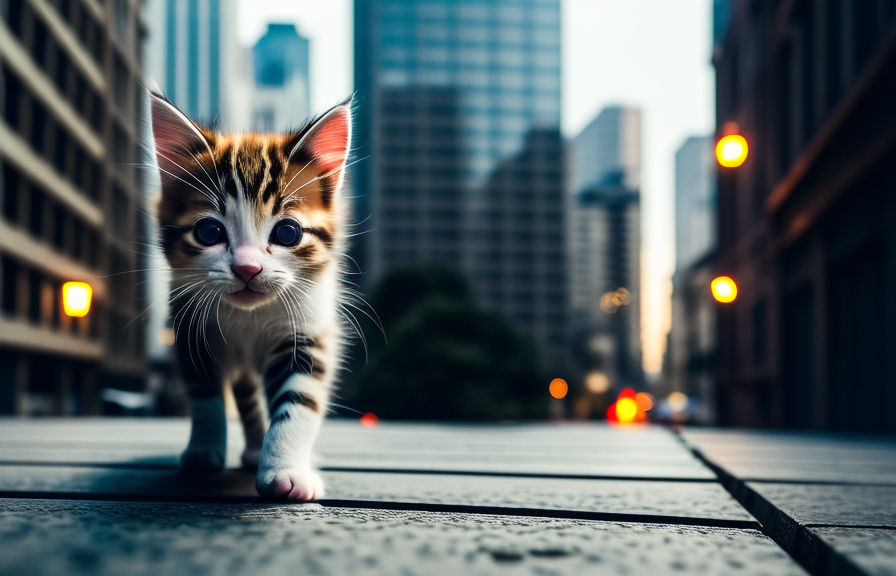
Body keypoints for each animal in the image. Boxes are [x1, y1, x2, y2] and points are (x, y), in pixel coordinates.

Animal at [150, 91, 354, 500]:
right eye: (209, 232)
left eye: (288, 233)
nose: (247, 268)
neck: (249, 317)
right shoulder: (191, 326)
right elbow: (206, 397)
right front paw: (204, 449)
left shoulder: (306, 330)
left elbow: (298, 401)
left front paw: (285, 469)